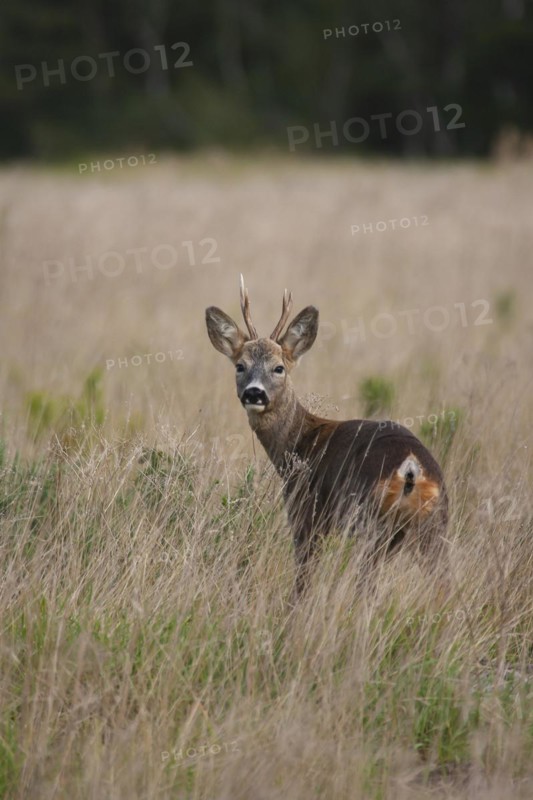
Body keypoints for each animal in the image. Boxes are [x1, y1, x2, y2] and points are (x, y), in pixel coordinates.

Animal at [205, 276, 448, 597]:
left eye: (278, 367)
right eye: (240, 366)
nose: (254, 393)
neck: (300, 443)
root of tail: (412, 468)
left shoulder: (307, 514)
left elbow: (303, 580)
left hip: (369, 524)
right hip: (434, 525)